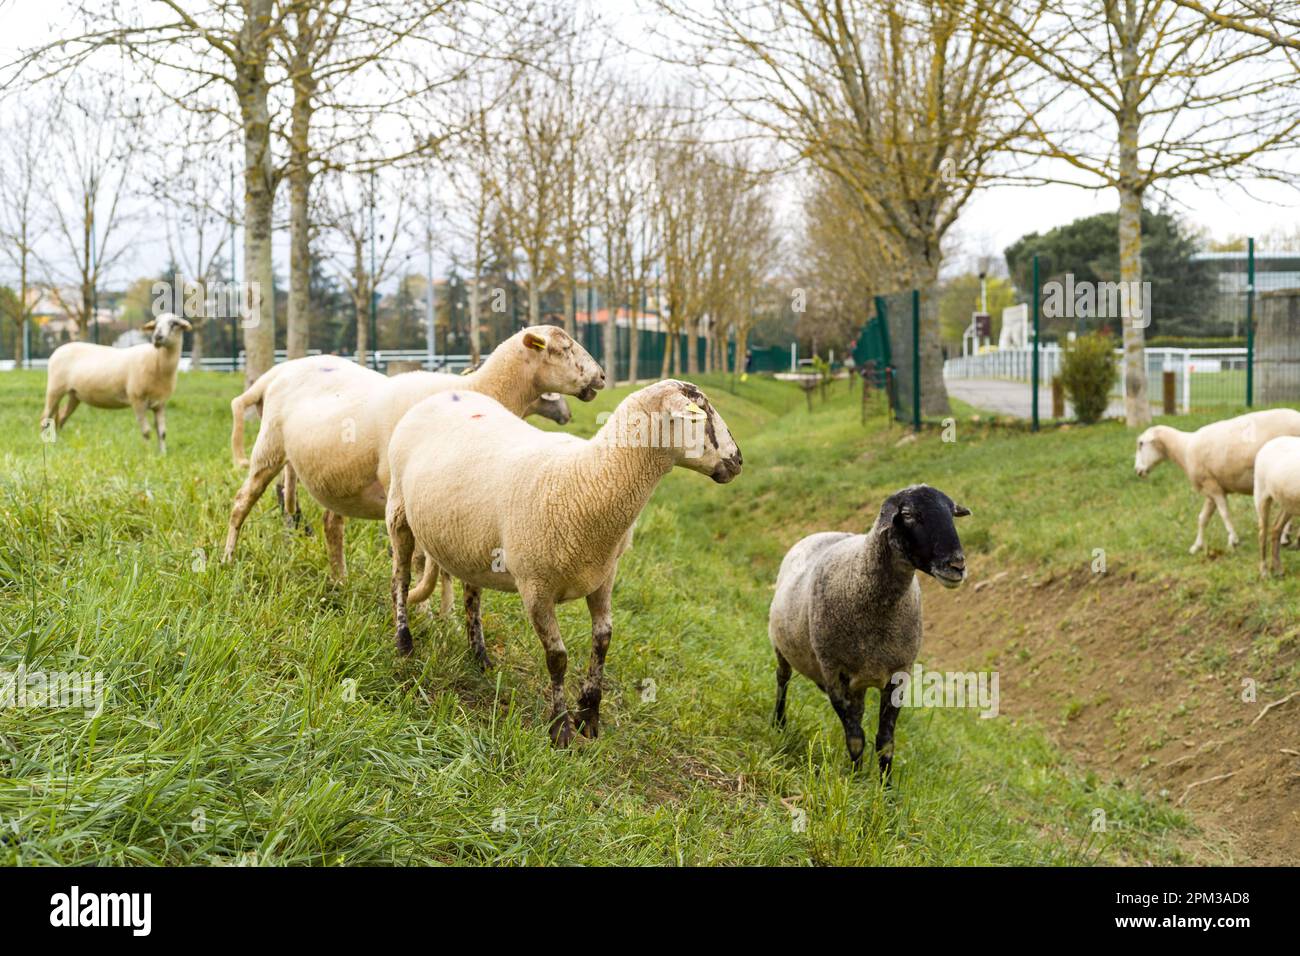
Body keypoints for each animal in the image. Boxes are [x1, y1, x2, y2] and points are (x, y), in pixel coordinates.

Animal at [39, 310, 191, 452]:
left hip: (74, 394)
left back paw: (57, 444)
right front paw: (147, 453)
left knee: (61, 418)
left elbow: (162, 432)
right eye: (156, 324)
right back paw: (45, 446)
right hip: (55, 388)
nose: (157, 337)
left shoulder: (160, 403)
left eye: (174, 324)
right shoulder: (137, 400)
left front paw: (162, 454)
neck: (156, 360)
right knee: (45, 418)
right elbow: (146, 432)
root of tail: (57, 350)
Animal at [223, 325, 603, 580]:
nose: (601, 376)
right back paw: (227, 558)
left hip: (336, 474)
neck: (477, 388)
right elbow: (419, 559)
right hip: (269, 446)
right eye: (563, 348)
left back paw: (340, 580)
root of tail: (278, 372)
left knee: (332, 524)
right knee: (242, 501)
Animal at [384, 379, 743, 749]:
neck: (588, 477)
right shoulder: (536, 587)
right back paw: (404, 642)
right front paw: (560, 729)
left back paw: (479, 656)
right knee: (400, 580)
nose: (738, 461)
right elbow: (557, 658)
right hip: (398, 511)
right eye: (701, 414)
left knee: (472, 596)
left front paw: (589, 714)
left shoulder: (603, 576)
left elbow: (603, 640)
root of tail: (445, 395)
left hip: (471, 541)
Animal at [1133, 408, 1300, 556]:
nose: (1137, 471)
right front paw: (1196, 546)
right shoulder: (1210, 490)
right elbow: (1202, 518)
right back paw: (1287, 538)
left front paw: (1233, 540)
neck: (1183, 449)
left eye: (1141, 444)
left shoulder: (1212, 486)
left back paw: (1285, 537)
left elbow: (1224, 513)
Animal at [1248, 437, 1300, 580]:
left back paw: (1278, 569)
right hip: (1261, 494)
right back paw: (1264, 572)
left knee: (1276, 529)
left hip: (1288, 502)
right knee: (1262, 532)